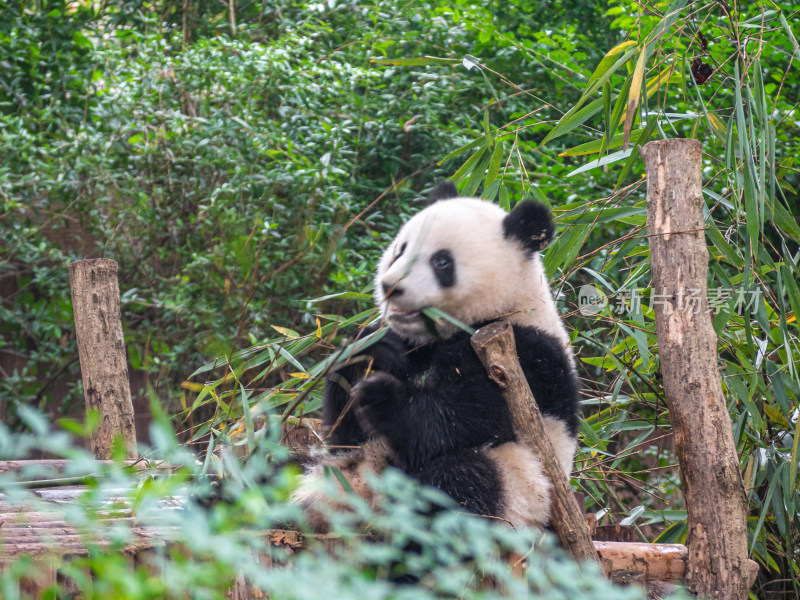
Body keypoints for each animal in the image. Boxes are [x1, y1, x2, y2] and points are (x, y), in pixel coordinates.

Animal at [292, 183, 576, 528]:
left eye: (442, 262)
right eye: (400, 250)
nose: (390, 287)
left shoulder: (523, 359)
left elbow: (463, 418)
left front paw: (383, 396)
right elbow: (343, 432)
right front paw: (372, 350)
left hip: (521, 488)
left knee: (460, 483)